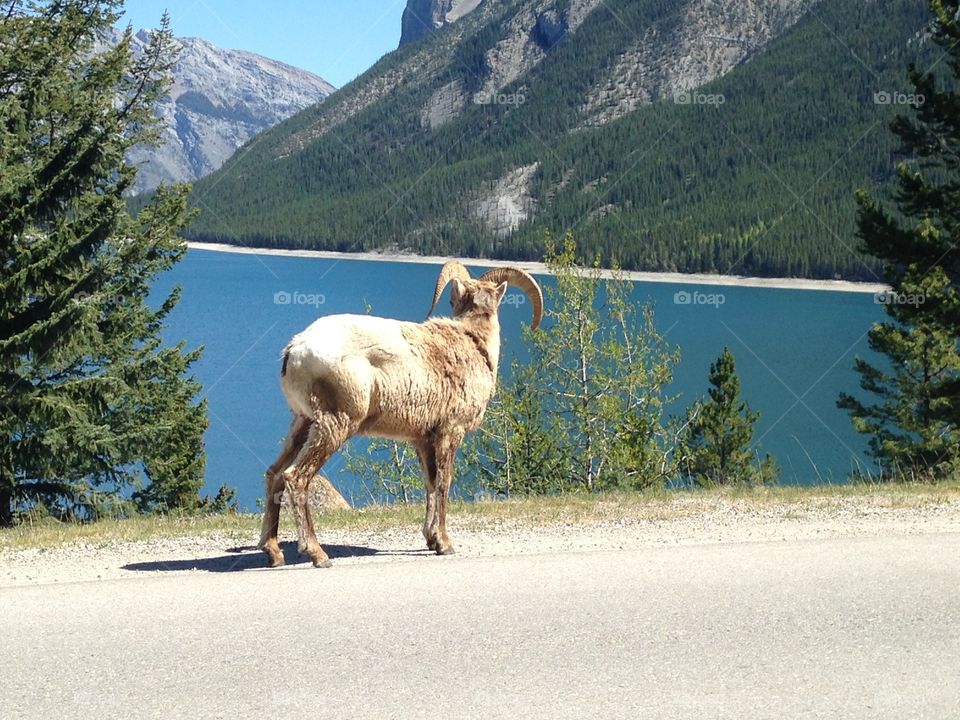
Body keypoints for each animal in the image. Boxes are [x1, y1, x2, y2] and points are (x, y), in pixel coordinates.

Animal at [258, 262, 544, 564]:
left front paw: (431, 540)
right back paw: (317, 553)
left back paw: (274, 552)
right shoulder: (449, 431)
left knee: (275, 473)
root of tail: (295, 350)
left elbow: (430, 483)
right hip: (334, 423)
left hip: (303, 422)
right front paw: (445, 544)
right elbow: (444, 482)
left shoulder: (423, 439)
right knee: (296, 477)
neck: (473, 343)